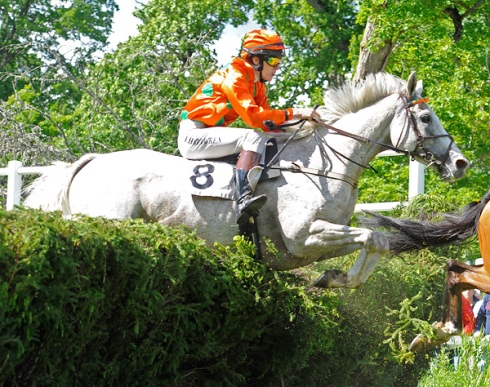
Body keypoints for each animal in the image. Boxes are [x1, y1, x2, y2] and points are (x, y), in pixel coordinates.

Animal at [24, 73, 468, 290]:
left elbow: (376, 243)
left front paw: (335, 279)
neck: (326, 166)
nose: (460, 162)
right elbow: (373, 237)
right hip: (106, 221)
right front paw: (336, 279)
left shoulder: (315, 242)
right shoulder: (303, 237)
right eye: (425, 117)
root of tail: (92, 161)